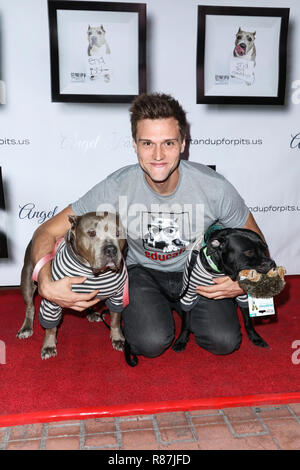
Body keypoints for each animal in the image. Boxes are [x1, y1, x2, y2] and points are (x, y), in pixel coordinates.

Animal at [17, 213, 127, 360]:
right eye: (92, 233)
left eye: (118, 233)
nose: (111, 249)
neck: (92, 272)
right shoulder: (52, 298)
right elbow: (50, 327)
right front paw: (49, 346)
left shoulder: (118, 295)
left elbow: (115, 318)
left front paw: (118, 338)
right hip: (28, 281)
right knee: (30, 307)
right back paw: (26, 328)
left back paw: (91, 313)